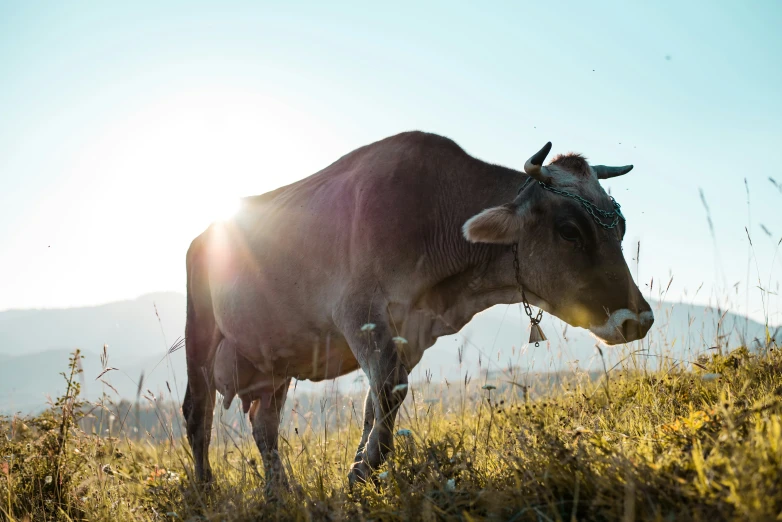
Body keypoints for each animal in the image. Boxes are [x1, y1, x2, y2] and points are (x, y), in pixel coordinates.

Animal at [184, 131, 656, 492]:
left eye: (620, 225)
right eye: (569, 230)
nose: (638, 319)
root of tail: (205, 234)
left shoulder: (411, 331)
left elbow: (378, 401)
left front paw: (362, 469)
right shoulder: (358, 312)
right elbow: (388, 391)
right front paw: (363, 471)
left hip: (275, 354)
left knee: (264, 423)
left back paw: (280, 492)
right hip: (202, 332)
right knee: (197, 412)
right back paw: (205, 491)